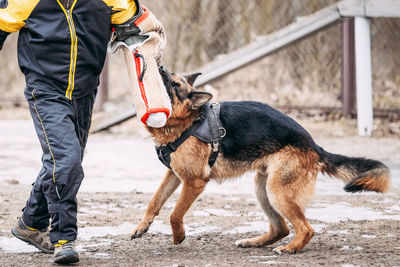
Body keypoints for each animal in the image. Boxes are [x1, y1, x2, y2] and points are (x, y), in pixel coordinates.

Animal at [132, 67, 390, 255]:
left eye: (175, 84)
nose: (160, 67)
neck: (187, 121)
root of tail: (313, 145)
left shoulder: (194, 182)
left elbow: (175, 213)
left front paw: (179, 236)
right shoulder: (174, 175)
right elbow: (154, 202)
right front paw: (142, 227)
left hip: (277, 191)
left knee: (306, 228)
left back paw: (290, 249)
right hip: (262, 188)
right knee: (281, 227)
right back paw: (254, 242)